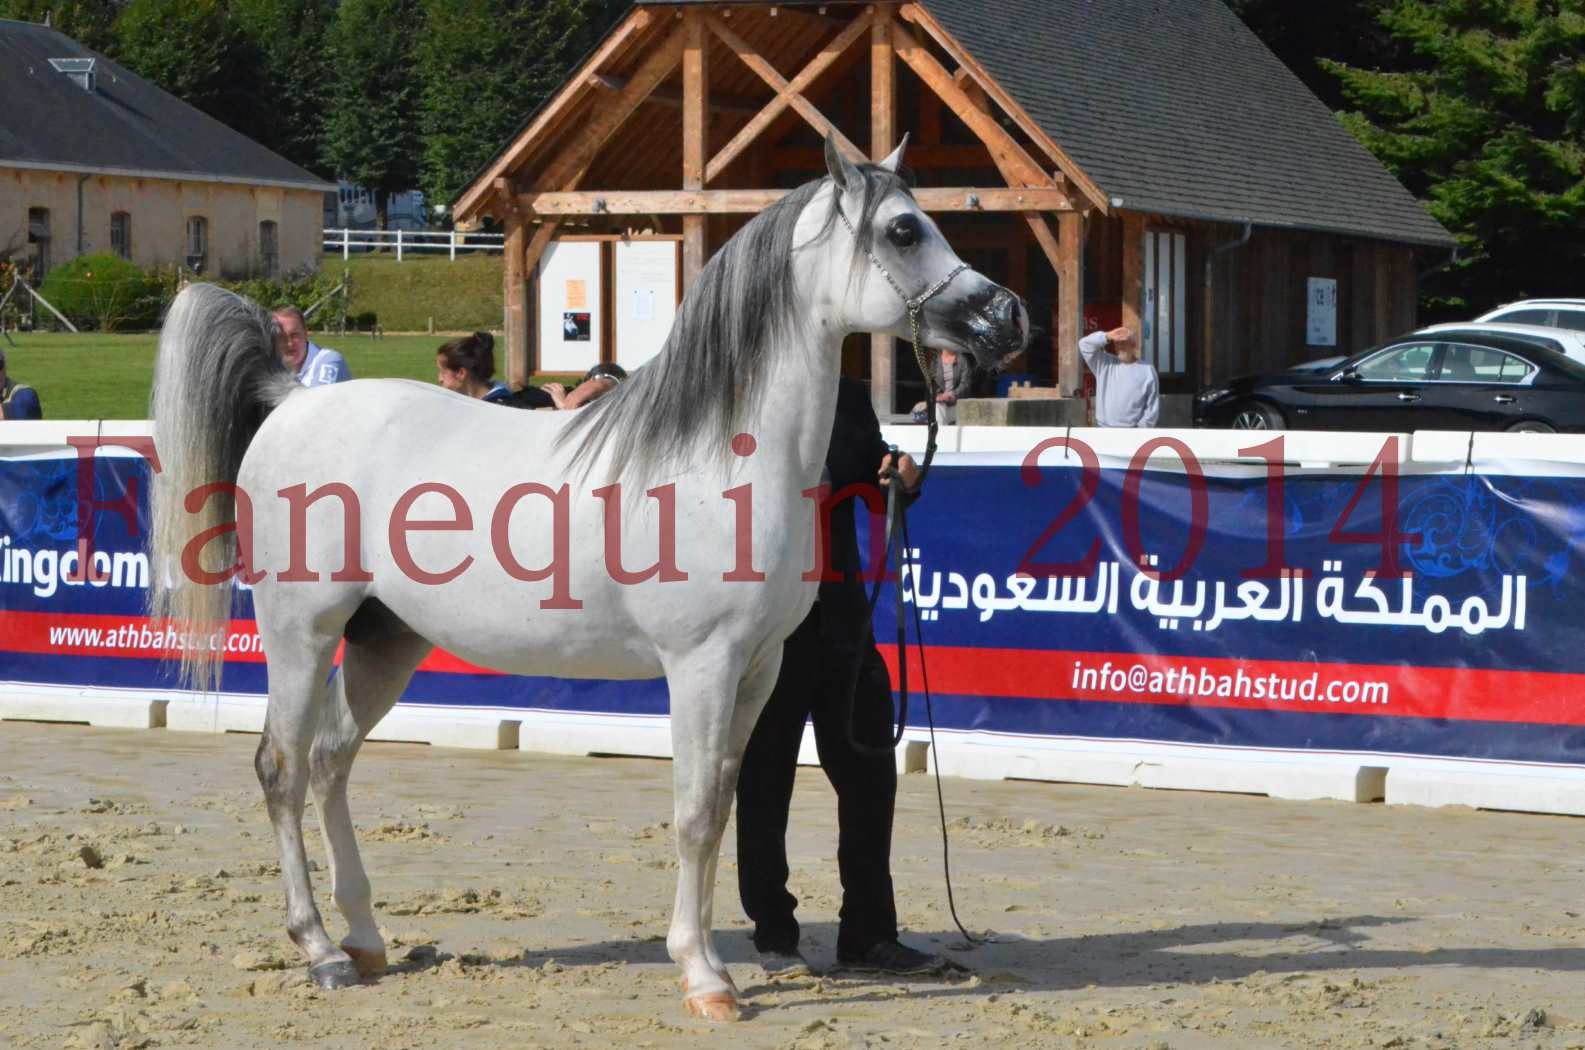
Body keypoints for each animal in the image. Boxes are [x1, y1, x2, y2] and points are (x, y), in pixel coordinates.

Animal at [148, 137, 1027, 1021]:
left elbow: (726, 802)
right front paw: (705, 979)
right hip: (302, 630)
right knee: (283, 770)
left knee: (331, 761)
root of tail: (293, 399)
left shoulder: (759, 668)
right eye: (904, 230)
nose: (1008, 317)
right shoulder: (700, 665)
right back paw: (319, 949)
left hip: (384, 641)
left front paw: (711, 961)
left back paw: (364, 940)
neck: (722, 455)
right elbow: (696, 813)